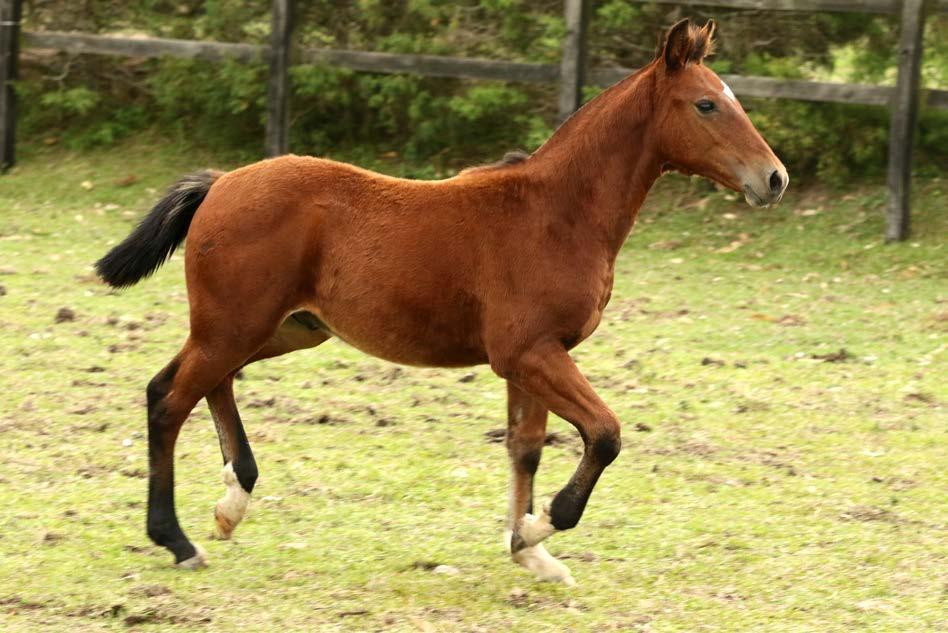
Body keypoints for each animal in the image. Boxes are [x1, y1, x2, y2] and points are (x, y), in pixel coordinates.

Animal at [94, 18, 784, 584]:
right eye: (706, 104)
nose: (773, 178)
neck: (558, 213)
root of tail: (219, 184)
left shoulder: (534, 357)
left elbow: (526, 446)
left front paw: (528, 550)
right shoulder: (528, 352)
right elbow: (605, 435)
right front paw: (540, 527)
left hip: (282, 327)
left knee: (197, 384)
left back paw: (230, 504)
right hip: (238, 326)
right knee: (171, 399)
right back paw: (178, 540)